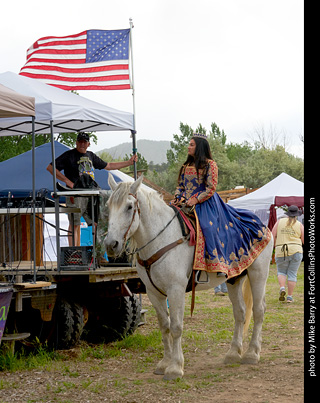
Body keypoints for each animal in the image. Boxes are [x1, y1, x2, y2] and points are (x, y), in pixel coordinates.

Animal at [104, 177, 272, 382]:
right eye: (108, 206)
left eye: (129, 207)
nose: (111, 245)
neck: (161, 239)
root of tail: (261, 224)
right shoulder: (154, 293)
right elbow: (164, 326)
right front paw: (164, 363)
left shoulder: (175, 289)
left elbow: (176, 327)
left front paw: (175, 367)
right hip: (234, 279)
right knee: (240, 312)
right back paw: (233, 353)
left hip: (258, 274)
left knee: (258, 310)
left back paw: (252, 353)